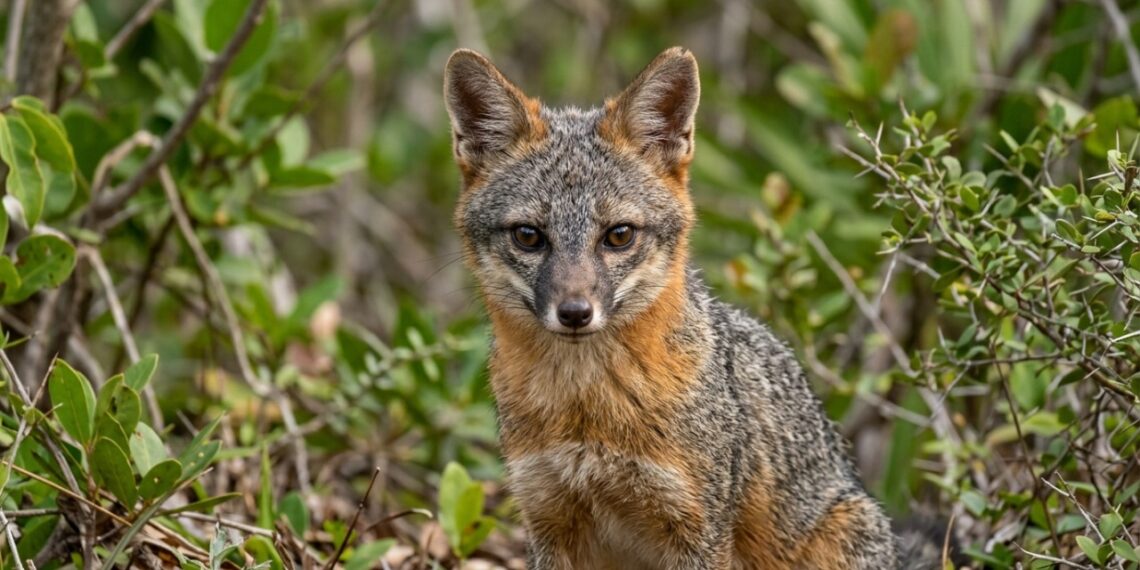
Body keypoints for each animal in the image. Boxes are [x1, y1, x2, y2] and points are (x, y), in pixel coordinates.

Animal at [443, 46, 945, 569]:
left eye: (618, 235)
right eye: (528, 235)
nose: (575, 312)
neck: (587, 408)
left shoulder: (697, 526)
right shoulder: (546, 515)